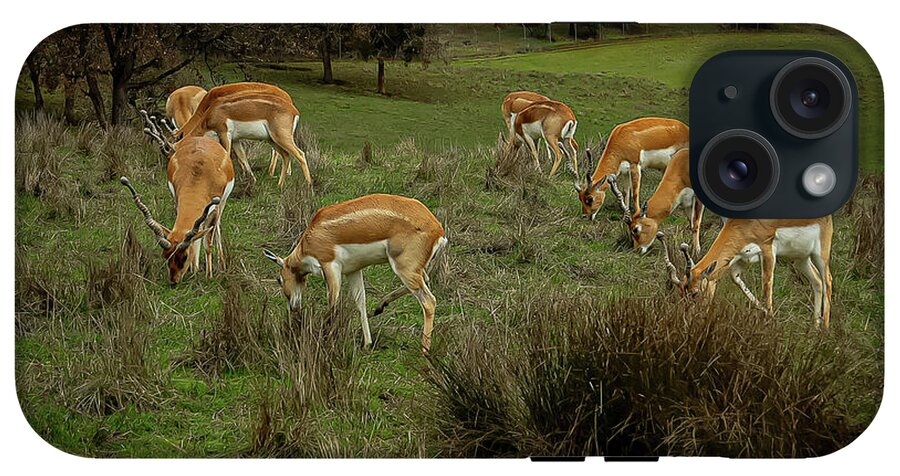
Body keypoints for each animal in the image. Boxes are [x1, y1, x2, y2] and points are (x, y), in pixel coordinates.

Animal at [122, 112, 235, 284]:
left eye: (184, 256)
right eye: (166, 256)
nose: (174, 281)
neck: (199, 175)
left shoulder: (214, 207)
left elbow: (208, 242)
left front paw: (209, 276)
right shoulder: (178, 199)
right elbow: (195, 235)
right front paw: (194, 270)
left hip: (222, 204)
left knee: (216, 227)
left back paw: (221, 261)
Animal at [170, 82, 309, 188]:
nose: (173, 173)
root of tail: (294, 110)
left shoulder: (224, 134)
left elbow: (227, 156)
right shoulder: (236, 140)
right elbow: (242, 157)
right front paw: (252, 180)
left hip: (281, 137)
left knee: (300, 154)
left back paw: (308, 185)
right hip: (272, 139)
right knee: (286, 155)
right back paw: (280, 184)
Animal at [262, 194, 448, 353]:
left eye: (279, 279)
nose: (293, 306)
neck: (311, 238)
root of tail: (438, 230)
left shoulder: (330, 266)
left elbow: (333, 304)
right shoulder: (353, 271)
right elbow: (360, 302)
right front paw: (367, 343)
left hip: (404, 268)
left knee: (429, 301)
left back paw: (424, 349)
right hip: (412, 269)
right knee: (425, 280)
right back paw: (380, 307)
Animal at [657, 216, 834, 328]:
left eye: (695, 293)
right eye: (681, 293)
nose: (688, 318)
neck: (747, 223)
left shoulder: (768, 250)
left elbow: (766, 287)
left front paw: (769, 320)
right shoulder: (739, 259)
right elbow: (737, 281)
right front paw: (766, 315)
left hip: (820, 255)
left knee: (828, 281)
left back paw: (824, 329)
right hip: (800, 259)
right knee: (817, 281)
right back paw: (815, 327)